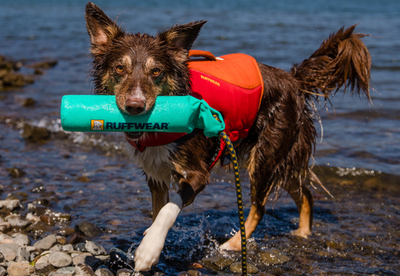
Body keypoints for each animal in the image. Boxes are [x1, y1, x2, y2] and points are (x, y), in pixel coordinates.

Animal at [84, 2, 372, 272]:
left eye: (156, 72)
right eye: (119, 68)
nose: (135, 106)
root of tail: (293, 80)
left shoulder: (199, 173)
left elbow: (168, 210)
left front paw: (149, 250)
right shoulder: (155, 174)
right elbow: (157, 211)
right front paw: (151, 244)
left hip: (265, 156)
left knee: (260, 207)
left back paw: (233, 245)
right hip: (276, 158)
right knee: (305, 193)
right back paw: (301, 234)